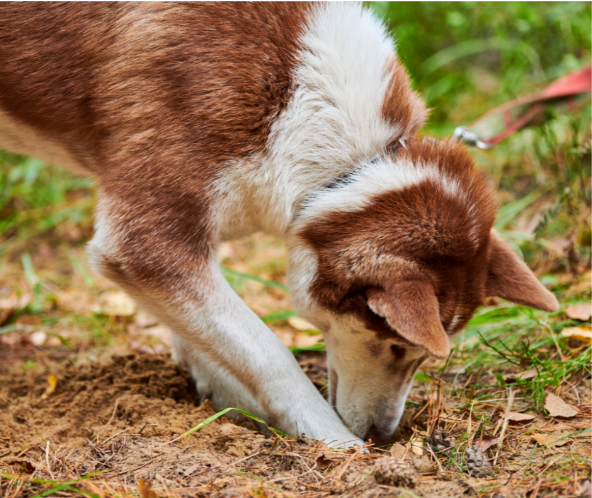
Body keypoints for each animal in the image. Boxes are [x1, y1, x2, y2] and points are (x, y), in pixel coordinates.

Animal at [0, 1, 556, 448]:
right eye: (396, 344)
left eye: (416, 356)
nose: (383, 437)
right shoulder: (144, 243)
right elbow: (268, 353)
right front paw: (332, 441)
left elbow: (210, 338)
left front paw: (225, 398)